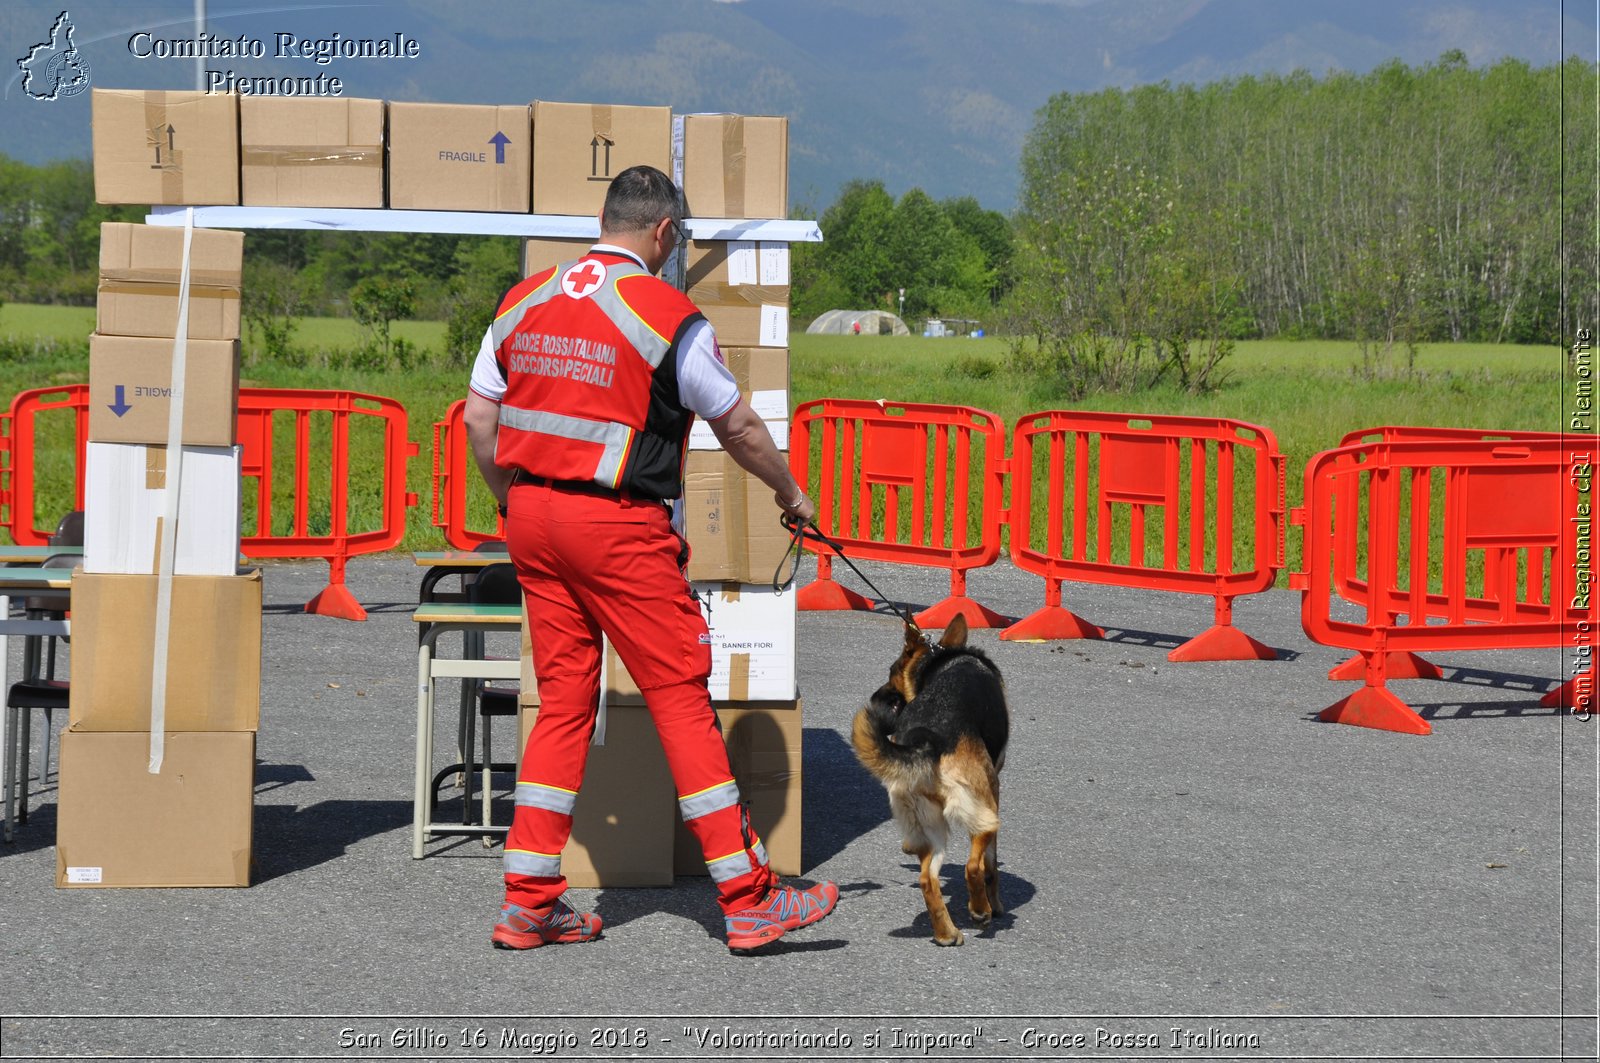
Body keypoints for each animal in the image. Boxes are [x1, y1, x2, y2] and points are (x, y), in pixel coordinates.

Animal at [857, 614, 1004, 947]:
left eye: (891, 671)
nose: (874, 698)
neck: (939, 658)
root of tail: (927, 739)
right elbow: (990, 865)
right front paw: (996, 903)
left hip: (928, 823)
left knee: (927, 879)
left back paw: (946, 933)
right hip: (985, 809)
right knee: (973, 865)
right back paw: (980, 910)